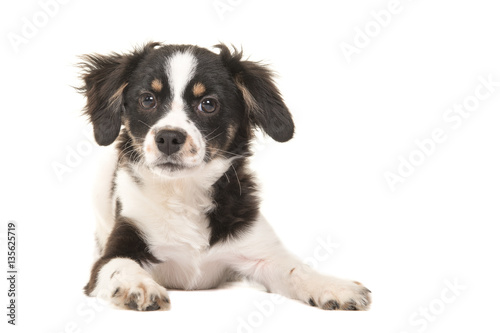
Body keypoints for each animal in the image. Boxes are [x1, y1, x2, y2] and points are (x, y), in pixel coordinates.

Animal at [77, 42, 368, 310]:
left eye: (208, 104)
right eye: (147, 99)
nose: (169, 138)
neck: (184, 192)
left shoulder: (259, 250)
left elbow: (296, 269)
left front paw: (333, 285)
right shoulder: (117, 248)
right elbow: (119, 266)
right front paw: (139, 285)